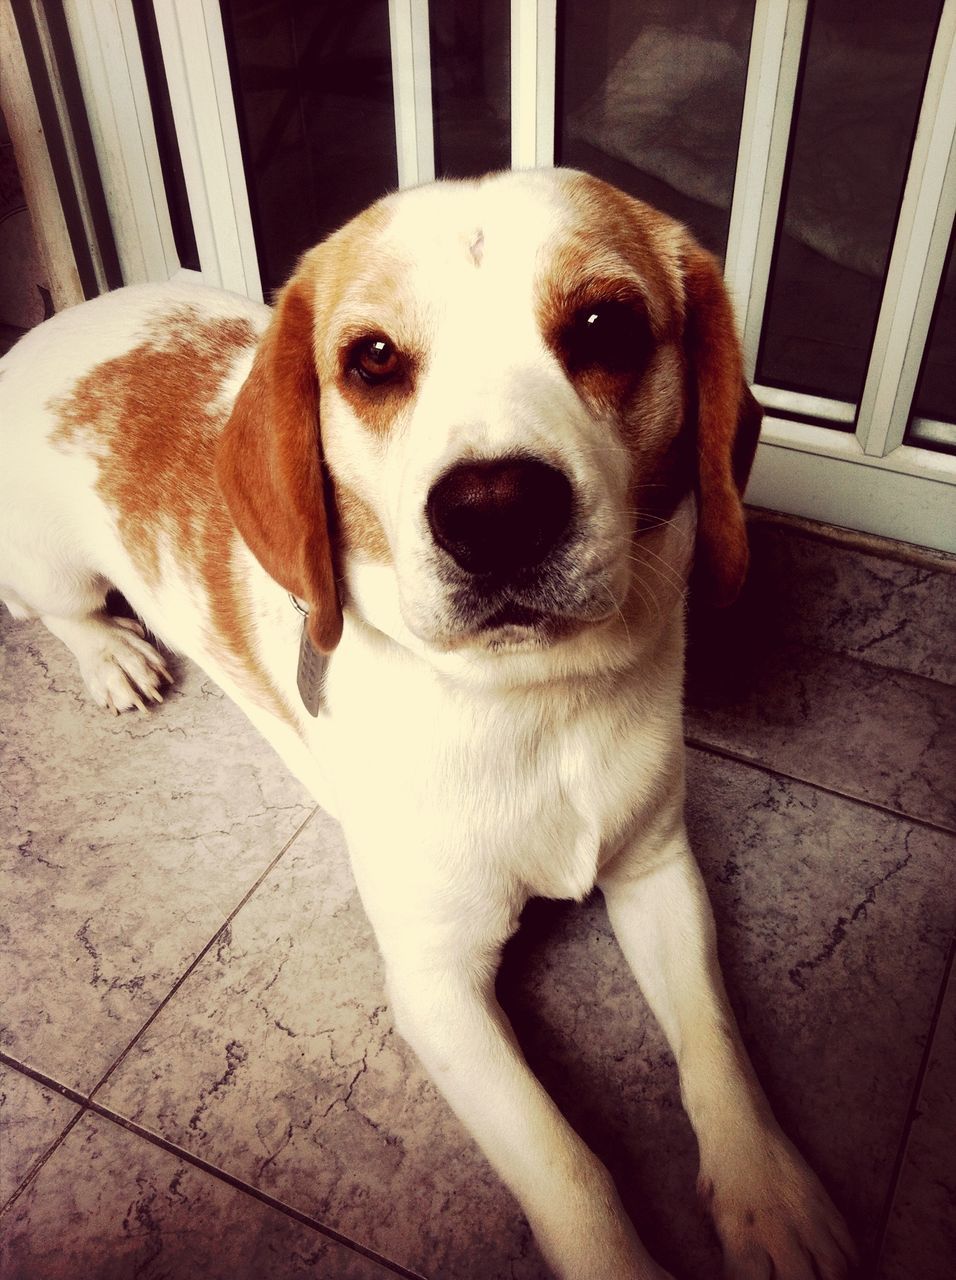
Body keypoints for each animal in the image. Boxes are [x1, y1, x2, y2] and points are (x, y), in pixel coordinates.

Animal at [0, 170, 854, 1280]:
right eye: (372, 358)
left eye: (604, 325)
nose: (495, 509)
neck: (531, 702)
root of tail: (48, 328)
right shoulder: (437, 983)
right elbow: (571, 1172)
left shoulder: (660, 870)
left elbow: (716, 1045)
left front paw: (768, 1198)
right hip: (52, 565)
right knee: (52, 609)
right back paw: (113, 655)